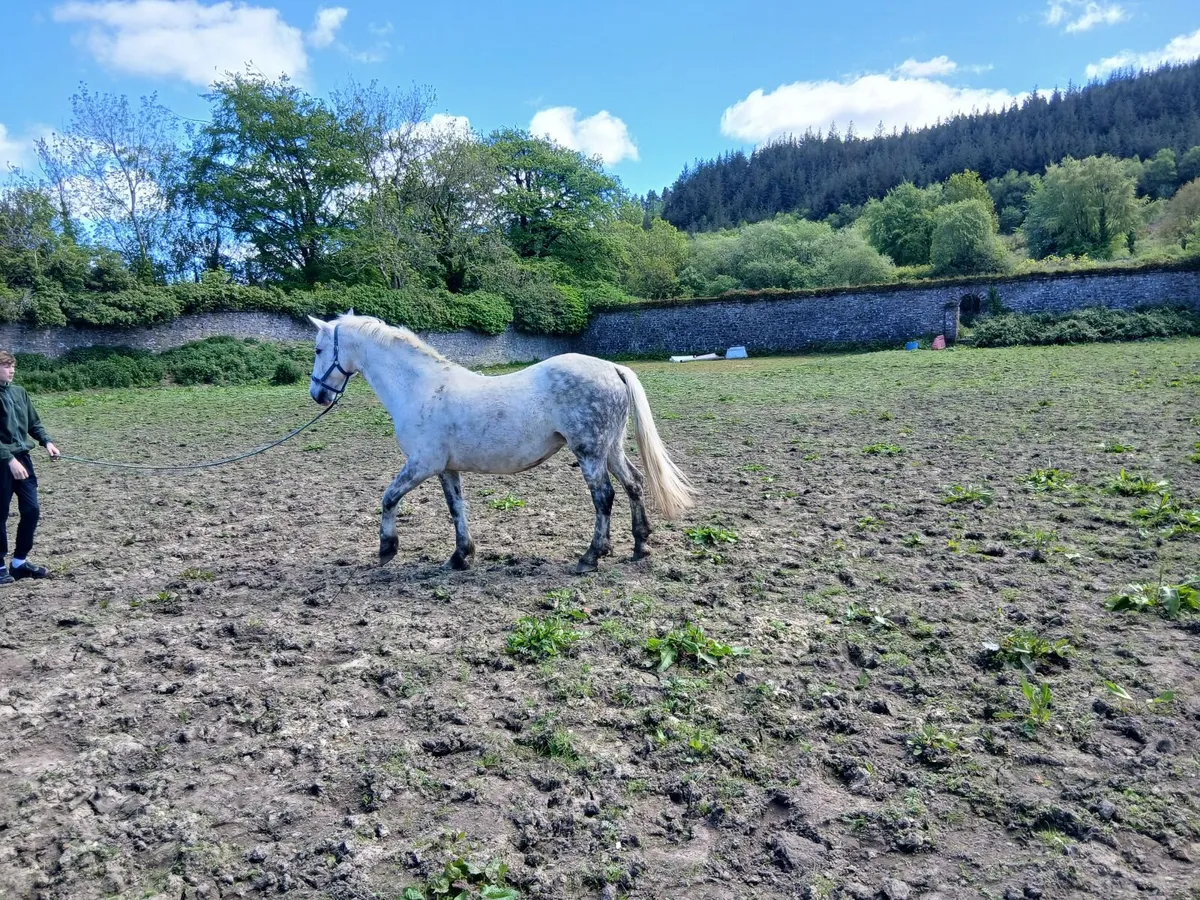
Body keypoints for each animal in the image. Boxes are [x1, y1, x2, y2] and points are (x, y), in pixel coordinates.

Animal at [308, 312, 696, 574]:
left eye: (318, 349)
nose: (318, 395)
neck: (421, 388)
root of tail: (612, 368)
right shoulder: (446, 469)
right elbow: (456, 509)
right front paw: (461, 556)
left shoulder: (422, 464)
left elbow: (388, 498)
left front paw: (387, 548)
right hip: (609, 450)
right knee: (634, 484)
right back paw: (640, 545)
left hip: (589, 452)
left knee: (604, 497)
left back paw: (591, 556)